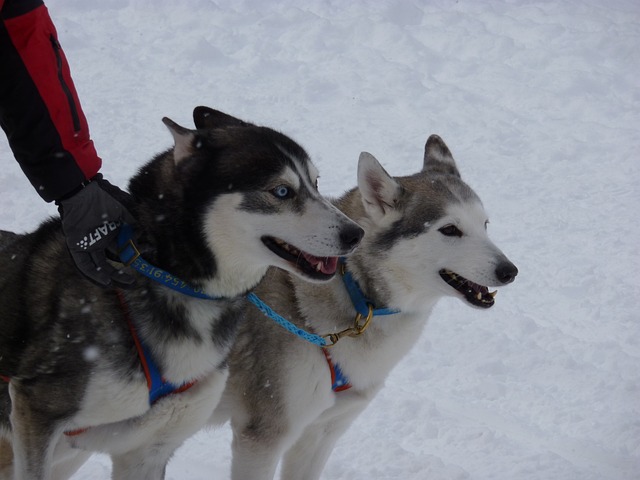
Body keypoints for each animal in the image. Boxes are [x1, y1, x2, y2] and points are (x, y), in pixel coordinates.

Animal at [0, 107, 362, 478]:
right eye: (282, 192)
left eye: (315, 183)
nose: (356, 234)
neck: (168, 276)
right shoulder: (37, 409)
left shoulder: (148, 450)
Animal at [212, 133, 516, 478]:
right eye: (450, 229)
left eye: (485, 225)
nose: (510, 271)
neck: (355, 289)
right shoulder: (263, 438)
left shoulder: (321, 432)